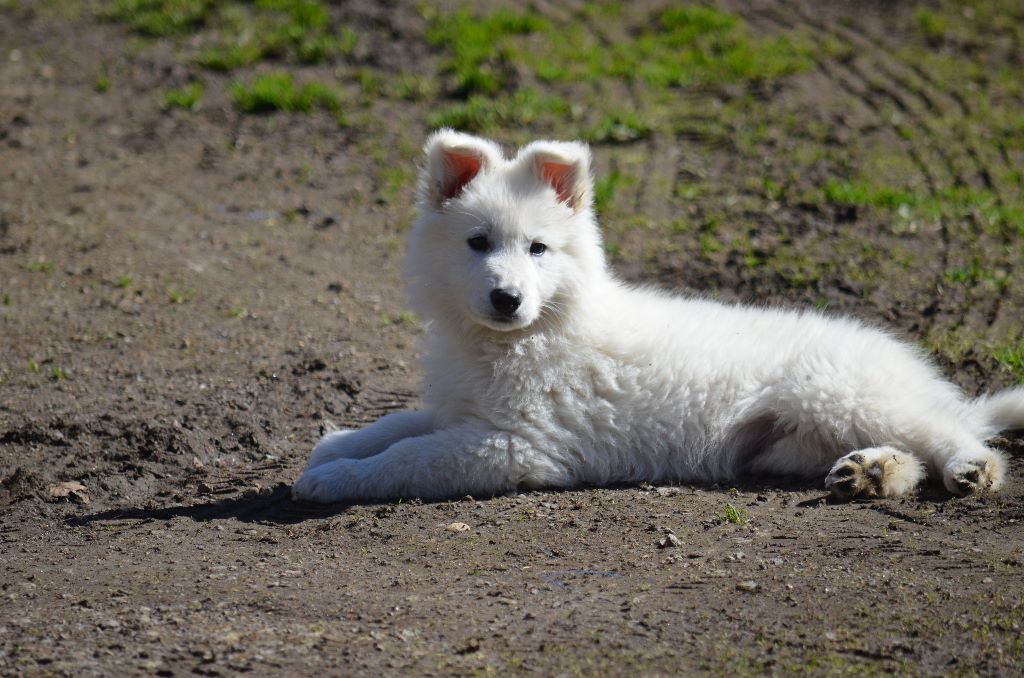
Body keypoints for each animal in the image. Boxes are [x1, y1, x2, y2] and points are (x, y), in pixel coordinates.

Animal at [290, 131, 1024, 503]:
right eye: (476, 244)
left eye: (538, 249)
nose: (507, 299)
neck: (528, 335)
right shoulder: (463, 412)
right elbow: (399, 425)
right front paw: (338, 443)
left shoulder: (516, 442)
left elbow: (408, 455)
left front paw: (332, 480)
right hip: (800, 438)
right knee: (908, 453)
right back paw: (872, 473)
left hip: (839, 391)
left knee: (947, 433)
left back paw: (968, 468)